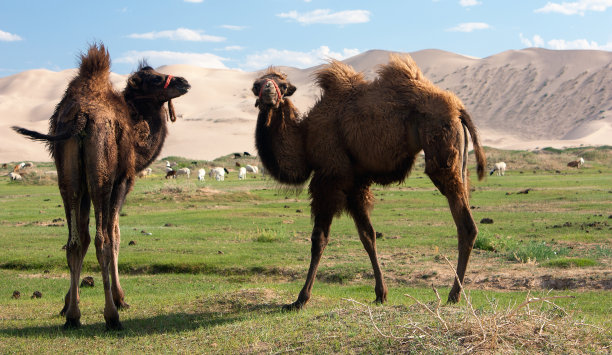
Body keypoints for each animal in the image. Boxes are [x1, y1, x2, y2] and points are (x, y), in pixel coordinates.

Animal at [12, 44, 191, 330]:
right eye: (154, 78)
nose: (184, 82)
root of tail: (83, 117)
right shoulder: (123, 181)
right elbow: (114, 235)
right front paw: (120, 298)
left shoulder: (82, 189)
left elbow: (81, 239)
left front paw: (67, 304)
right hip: (101, 178)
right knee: (102, 240)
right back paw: (112, 316)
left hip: (68, 179)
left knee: (74, 241)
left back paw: (73, 317)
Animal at [251, 52, 486, 312]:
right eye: (256, 86)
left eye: (282, 86)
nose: (268, 92)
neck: (305, 140)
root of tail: (458, 108)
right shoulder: (355, 183)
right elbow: (368, 235)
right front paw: (380, 294)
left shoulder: (330, 176)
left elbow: (318, 239)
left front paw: (301, 298)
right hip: (458, 163)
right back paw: (455, 293)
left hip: (441, 154)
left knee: (466, 226)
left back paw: (454, 295)